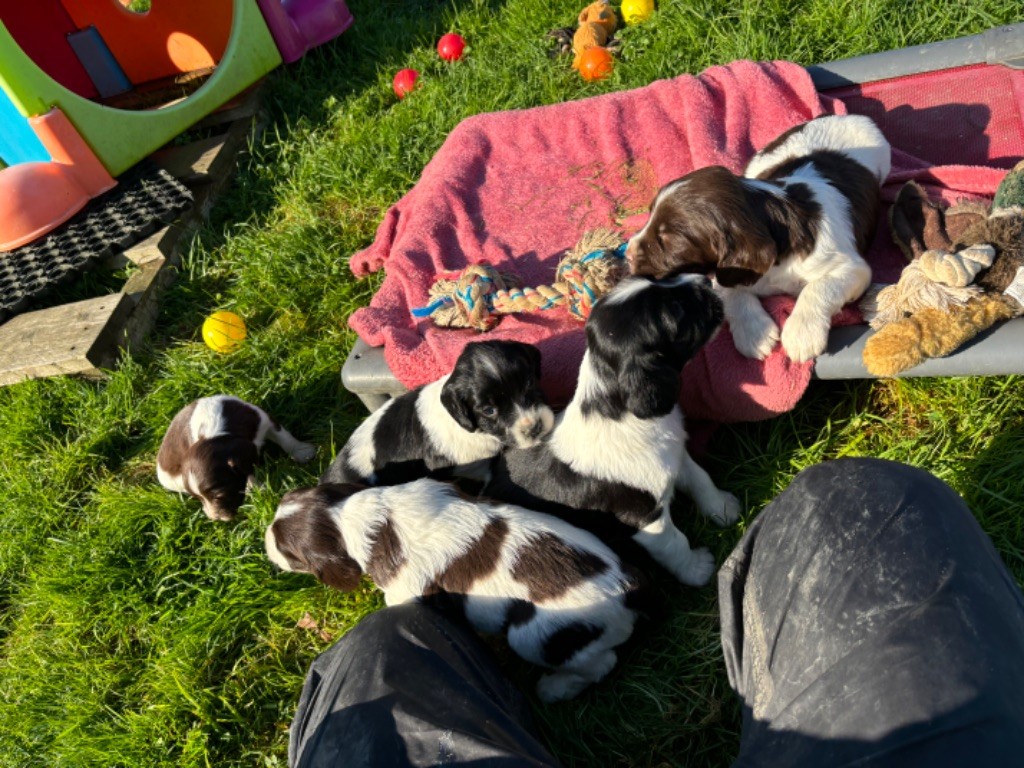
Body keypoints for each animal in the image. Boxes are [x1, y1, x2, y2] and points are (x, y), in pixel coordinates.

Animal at [155, 397, 313, 524]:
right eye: (198, 498)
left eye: (219, 496)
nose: (216, 518)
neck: (216, 432)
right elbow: (249, 475)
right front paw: (258, 489)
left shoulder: (261, 419)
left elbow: (283, 437)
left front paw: (302, 451)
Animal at [268, 481, 643, 704]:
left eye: (289, 552)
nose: (266, 546)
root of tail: (632, 587)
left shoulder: (405, 594)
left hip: (534, 634)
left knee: (600, 664)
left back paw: (553, 689)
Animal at [483, 274, 741, 585]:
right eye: (677, 310)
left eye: (657, 279)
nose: (704, 279)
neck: (622, 414)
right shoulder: (646, 520)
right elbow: (675, 543)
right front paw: (698, 569)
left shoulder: (675, 454)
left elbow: (700, 478)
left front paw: (723, 508)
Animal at [618, 114, 892, 364]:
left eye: (668, 239)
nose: (627, 254)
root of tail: (845, 116)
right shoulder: (725, 272)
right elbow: (731, 294)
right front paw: (754, 334)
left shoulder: (852, 268)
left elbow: (819, 287)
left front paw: (801, 334)